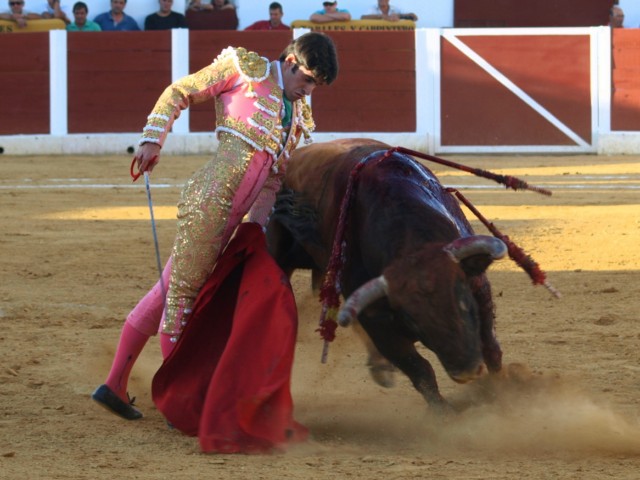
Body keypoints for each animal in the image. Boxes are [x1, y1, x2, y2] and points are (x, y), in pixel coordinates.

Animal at [264, 137, 504, 410]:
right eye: (412, 320)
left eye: (463, 303)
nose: (466, 371)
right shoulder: (377, 321)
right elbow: (420, 370)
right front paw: (445, 412)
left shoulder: (478, 287)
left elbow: (490, 346)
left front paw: (501, 393)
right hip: (281, 250)